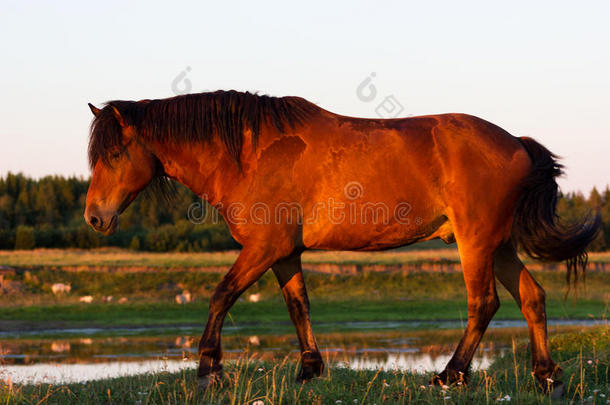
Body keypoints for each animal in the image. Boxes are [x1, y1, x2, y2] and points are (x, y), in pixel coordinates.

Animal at [85, 90, 600, 394]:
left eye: (114, 154)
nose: (94, 217)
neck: (250, 154)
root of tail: (515, 142)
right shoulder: (284, 253)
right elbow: (299, 307)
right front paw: (310, 368)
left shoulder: (263, 249)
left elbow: (221, 295)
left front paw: (209, 369)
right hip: (500, 245)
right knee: (532, 298)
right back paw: (546, 375)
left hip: (475, 243)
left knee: (484, 304)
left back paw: (449, 374)